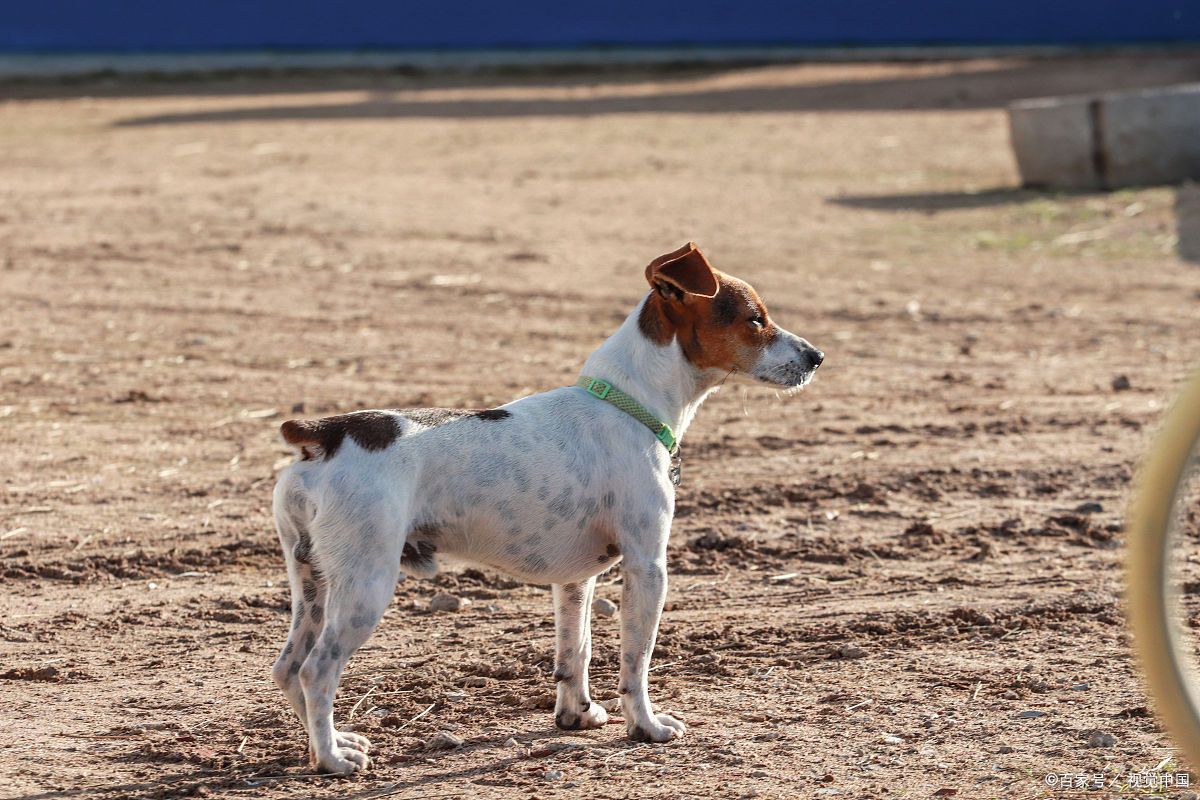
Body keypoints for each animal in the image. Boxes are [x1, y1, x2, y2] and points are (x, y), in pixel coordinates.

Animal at [267, 244, 820, 777]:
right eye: (755, 319)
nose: (817, 356)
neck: (629, 404)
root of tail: (325, 433)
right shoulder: (648, 567)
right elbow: (635, 660)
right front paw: (645, 725)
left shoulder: (577, 579)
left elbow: (577, 650)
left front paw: (577, 714)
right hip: (366, 585)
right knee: (317, 670)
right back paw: (332, 760)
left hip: (312, 582)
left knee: (288, 667)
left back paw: (330, 742)